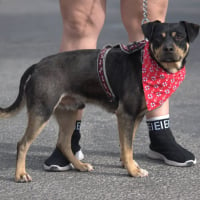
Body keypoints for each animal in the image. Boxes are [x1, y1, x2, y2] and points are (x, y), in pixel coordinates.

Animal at [0, 21, 198, 182]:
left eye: (179, 36)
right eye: (158, 38)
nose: (168, 49)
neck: (149, 65)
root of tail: (38, 65)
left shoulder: (136, 117)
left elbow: (128, 146)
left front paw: (129, 165)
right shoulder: (126, 114)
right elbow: (127, 147)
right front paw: (133, 171)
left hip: (69, 112)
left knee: (63, 143)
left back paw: (80, 166)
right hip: (42, 111)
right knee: (23, 144)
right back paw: (20, 174)